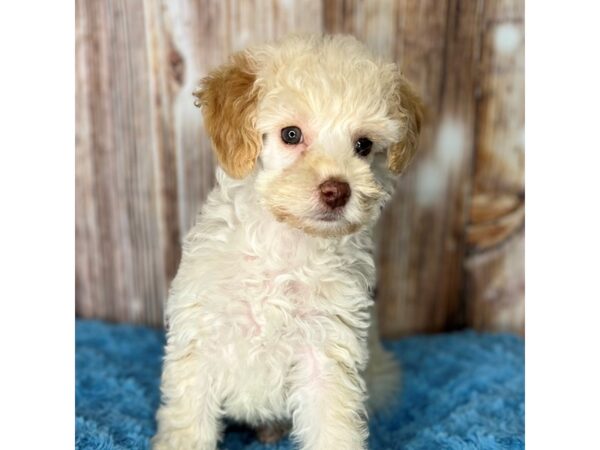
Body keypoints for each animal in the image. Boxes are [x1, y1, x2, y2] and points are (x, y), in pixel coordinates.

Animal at [152, 35, 424, 450]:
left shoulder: (326, 352)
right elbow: (188, 419)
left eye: (363, 145)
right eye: (291, 134)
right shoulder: (201, 337)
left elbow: (331, 424)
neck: (285, 245)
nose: (336, 191)